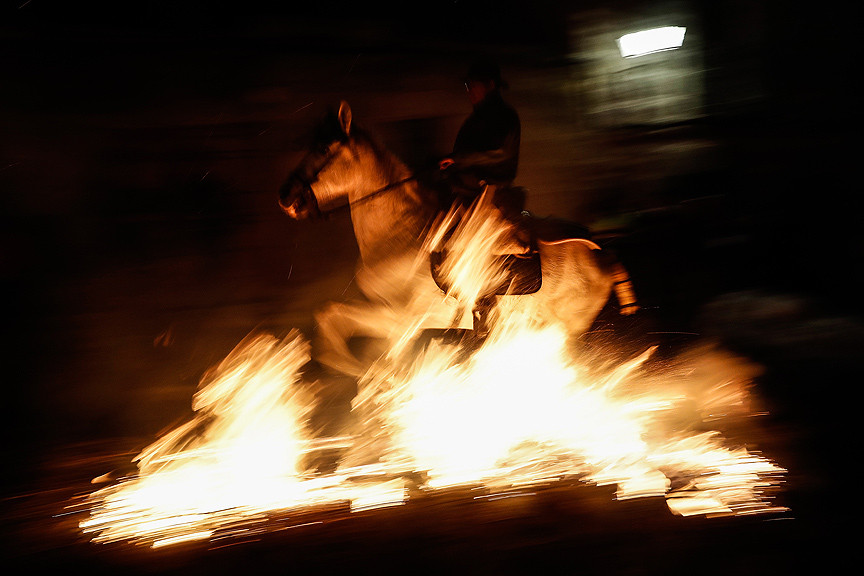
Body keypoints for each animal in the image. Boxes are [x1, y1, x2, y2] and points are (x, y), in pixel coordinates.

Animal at [280, 100, 636, 392]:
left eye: (324, 149)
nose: (287, 198)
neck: (402, 232)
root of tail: (601, 254)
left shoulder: (401, 318)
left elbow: (362, 341)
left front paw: (379, 379)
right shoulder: (391, 315)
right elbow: (331, 320)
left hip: (564, 328)